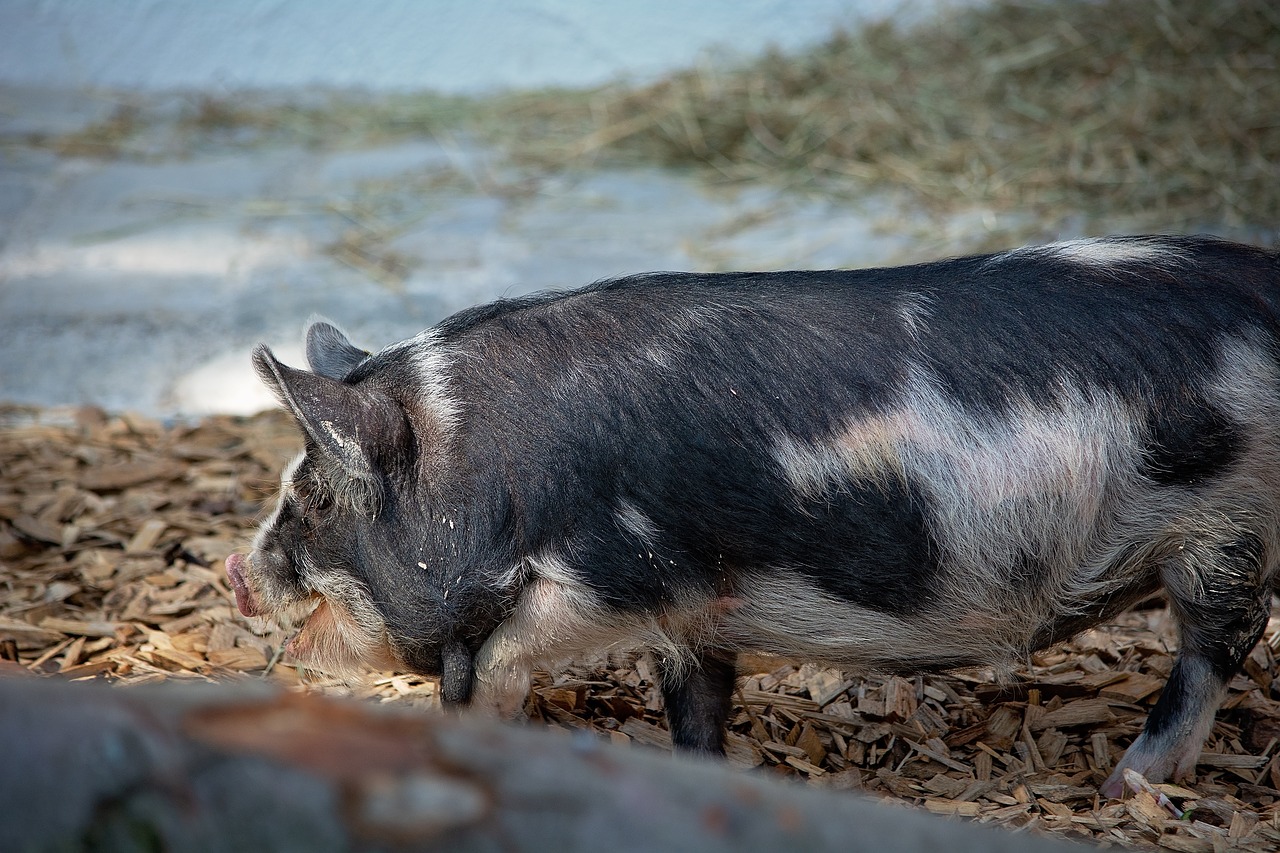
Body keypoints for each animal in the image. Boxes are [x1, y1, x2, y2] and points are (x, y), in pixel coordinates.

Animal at [227, 234, 1280, 799]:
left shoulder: (620, 571)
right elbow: (696, 699)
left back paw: (1124, 785)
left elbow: (504, 653)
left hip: (1221, 533)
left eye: (314, 496)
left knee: (1219, 644)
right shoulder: (698, 607)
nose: (240, 572)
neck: (494, 473)